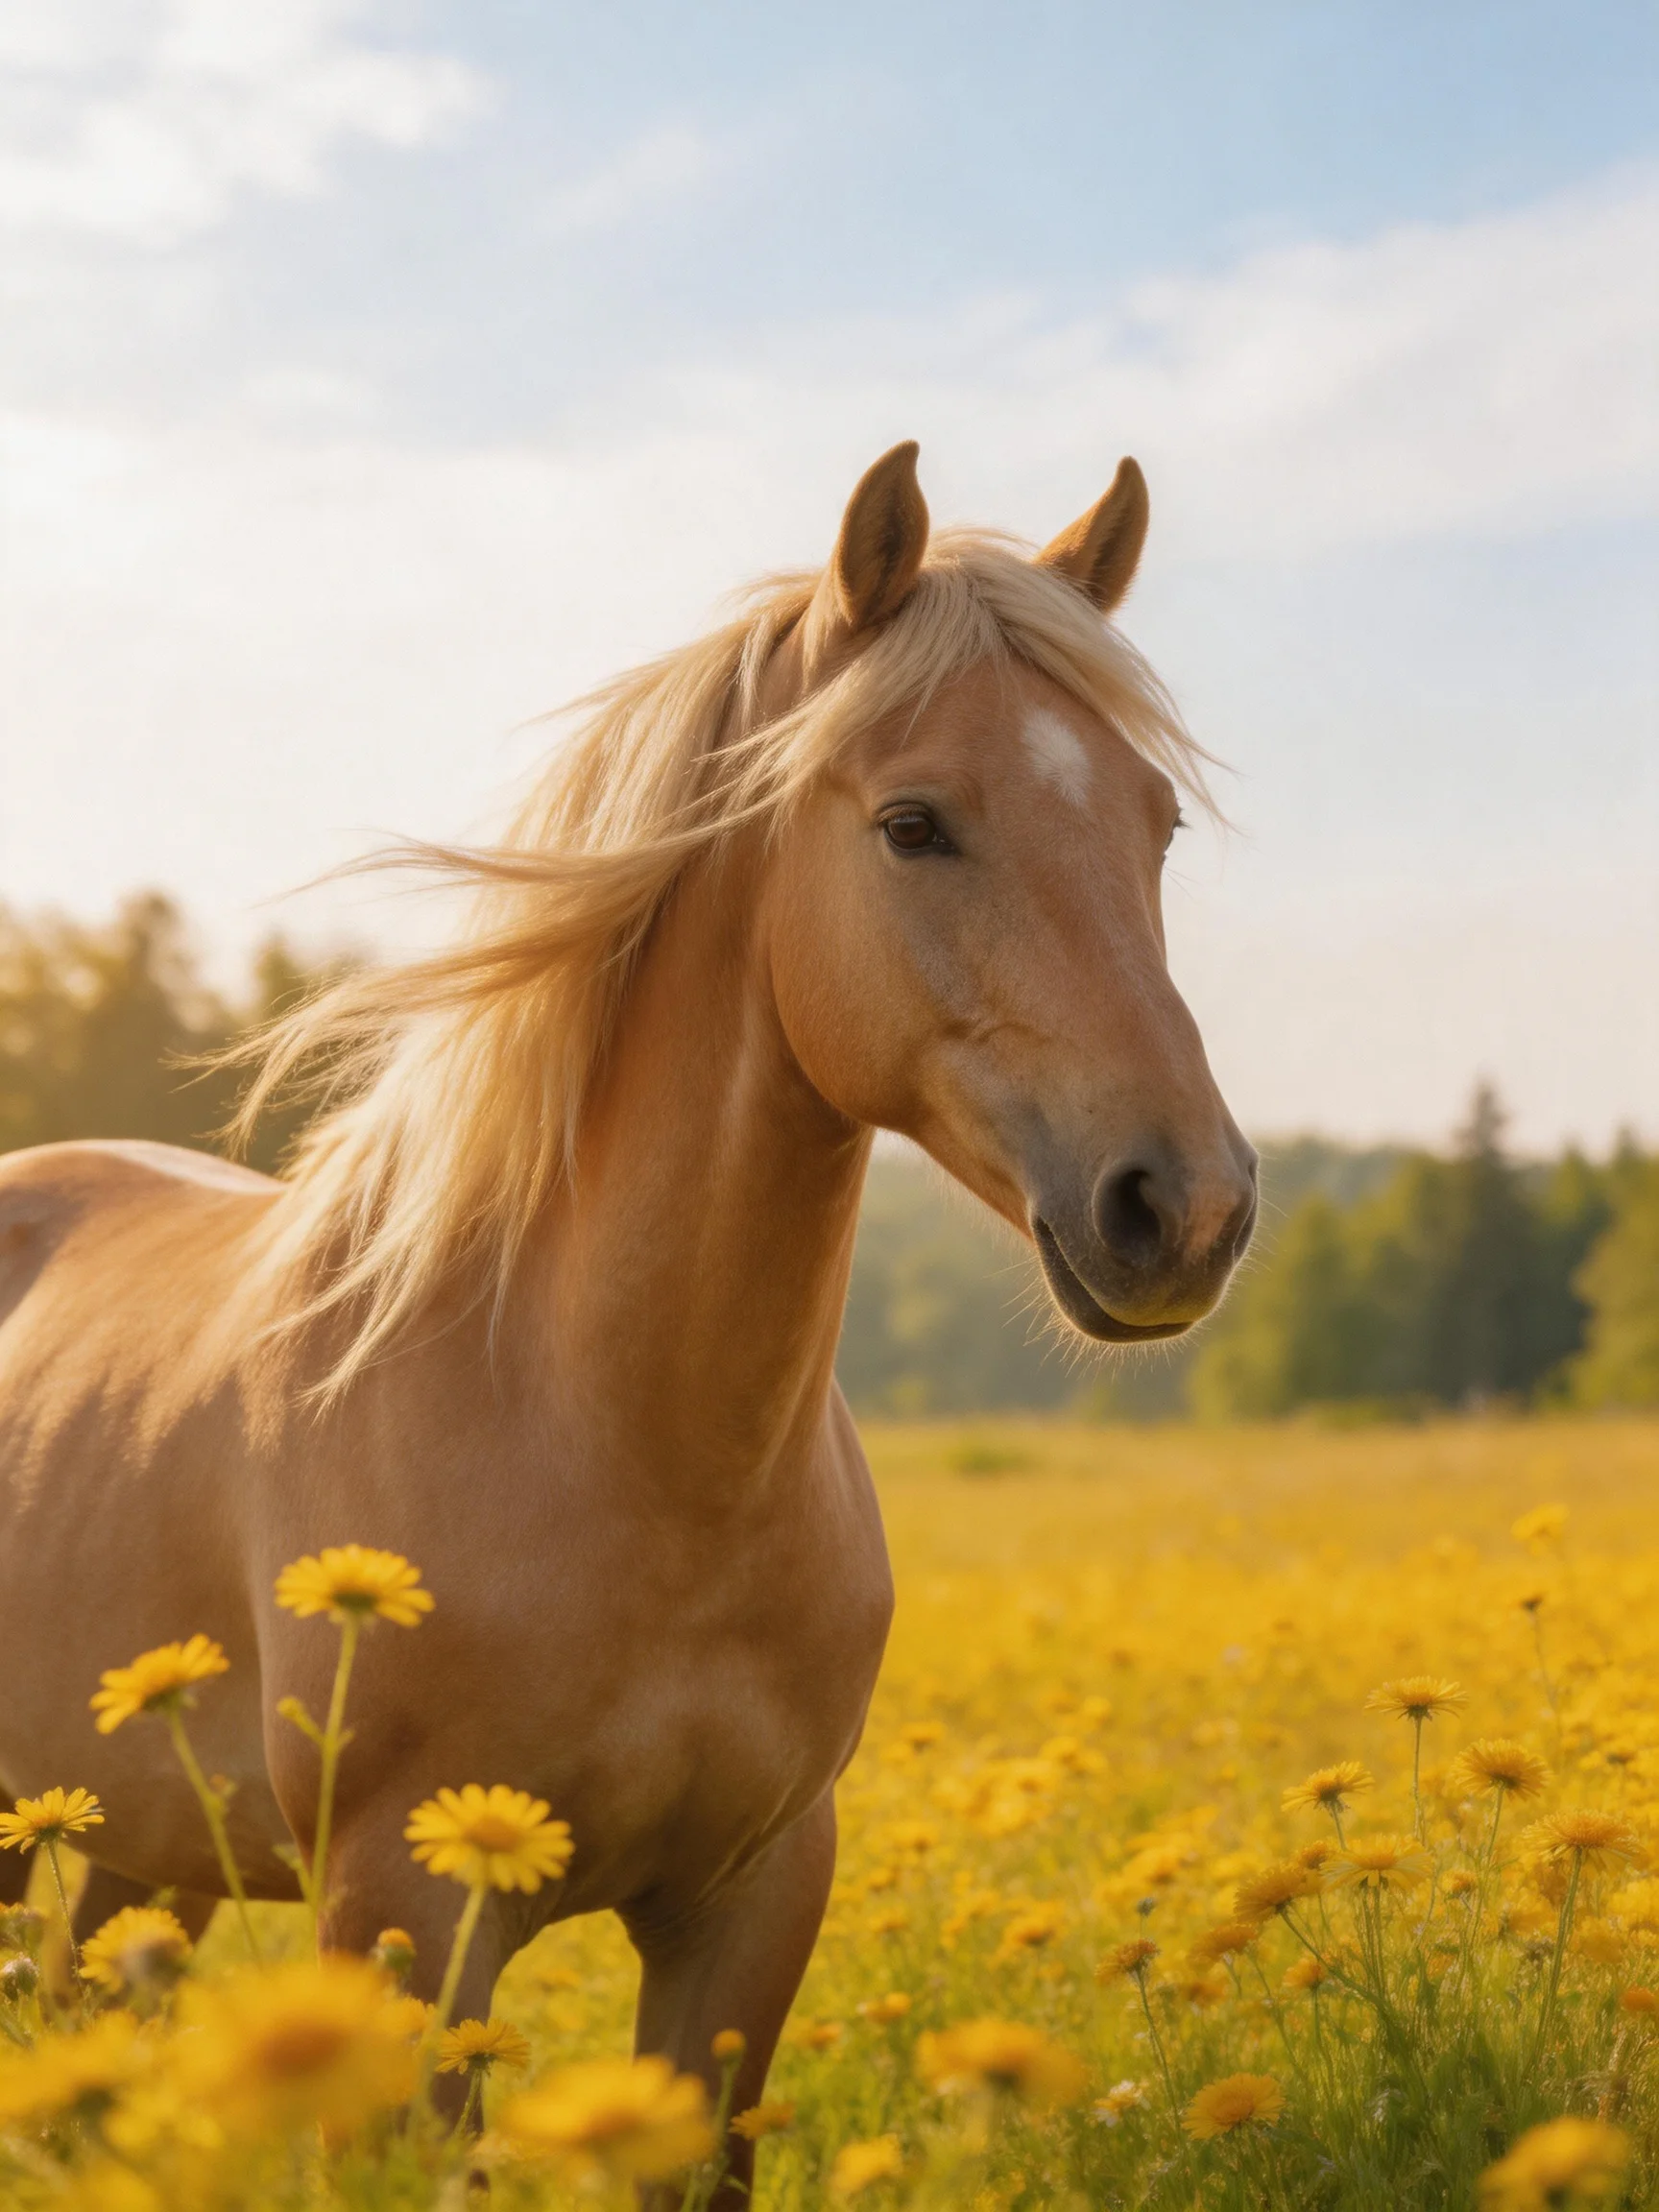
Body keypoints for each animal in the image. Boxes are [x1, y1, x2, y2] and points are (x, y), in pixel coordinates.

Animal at [0, 441, 1256, 2186]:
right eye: (913, 822)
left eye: (1156, 821)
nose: (1183, 1208)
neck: (609, 1429)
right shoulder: (404, 1913)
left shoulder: (750, 1902)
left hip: (140, 1849)